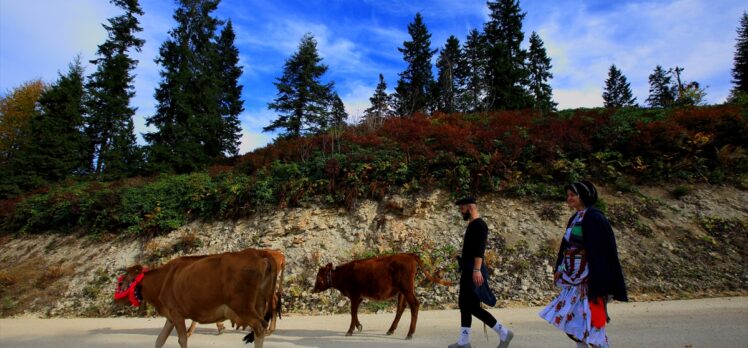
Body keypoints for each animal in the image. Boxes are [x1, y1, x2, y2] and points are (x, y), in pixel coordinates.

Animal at [115, 249, 280, 346]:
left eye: (121, 282)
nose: (115, 299)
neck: (161, 281)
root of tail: (257, 253)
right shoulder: (170, 317)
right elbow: (159, 340)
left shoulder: (176, 314)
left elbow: (182, 339)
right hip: (259, 303)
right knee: (261, 328)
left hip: (242, 306)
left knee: (259, 327)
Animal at [312, 253, 448, 340]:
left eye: (319, 276)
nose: (313, 289)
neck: (344, 274)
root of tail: (408, 255)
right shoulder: (359, 297)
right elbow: (354, 313)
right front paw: (359, 326)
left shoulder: (355, 295)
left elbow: (352, 312)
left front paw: (350, 331)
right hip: (402, 291)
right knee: (400, 308)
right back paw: (391, 330)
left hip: (407, 288)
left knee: (414, 305)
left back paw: (410, 333)